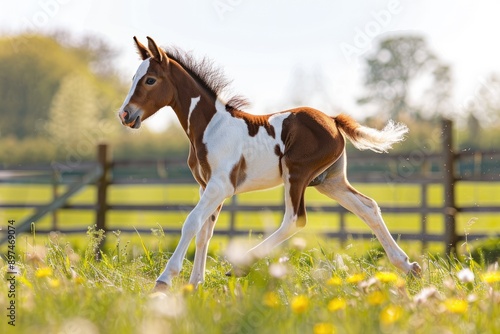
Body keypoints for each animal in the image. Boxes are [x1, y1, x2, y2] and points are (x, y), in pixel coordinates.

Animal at [118, 36, 422, 290]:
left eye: (150, 80)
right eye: (134, 77)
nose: (125, 114)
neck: (209, 127)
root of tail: (334, 120)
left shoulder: (220, 186)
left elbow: (191, 223)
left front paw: (165, 279)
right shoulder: (206, 186)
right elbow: (205, 231)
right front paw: (195, 284)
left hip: (296, 174)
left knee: (295, 219)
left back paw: (240, 266)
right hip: (329, 181)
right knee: (368, 207)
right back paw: (408, 266)